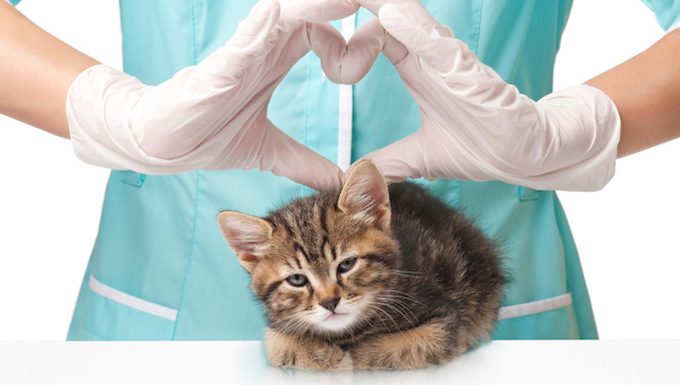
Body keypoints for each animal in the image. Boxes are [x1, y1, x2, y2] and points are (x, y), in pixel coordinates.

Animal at [218, 159, 504, 368]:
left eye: (346, 265)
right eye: (297, 279)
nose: (330, 302)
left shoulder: (448, 320)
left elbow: (405, 347)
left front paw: (353, 356)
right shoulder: (275, 329)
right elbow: (279, 346)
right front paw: (323, 355)